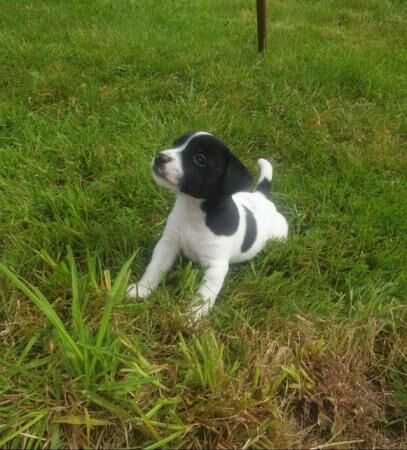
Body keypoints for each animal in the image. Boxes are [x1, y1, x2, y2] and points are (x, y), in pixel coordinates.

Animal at [128, 132, 290, 322]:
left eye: (200, 159)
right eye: (176, 144)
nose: (160, 157)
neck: (194, 212)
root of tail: (260, 197)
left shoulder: (215, 266)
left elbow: (204, 294)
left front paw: (193, 317)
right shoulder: (167, 245)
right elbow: (155, 268)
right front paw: (141, 289)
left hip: (279, 234)